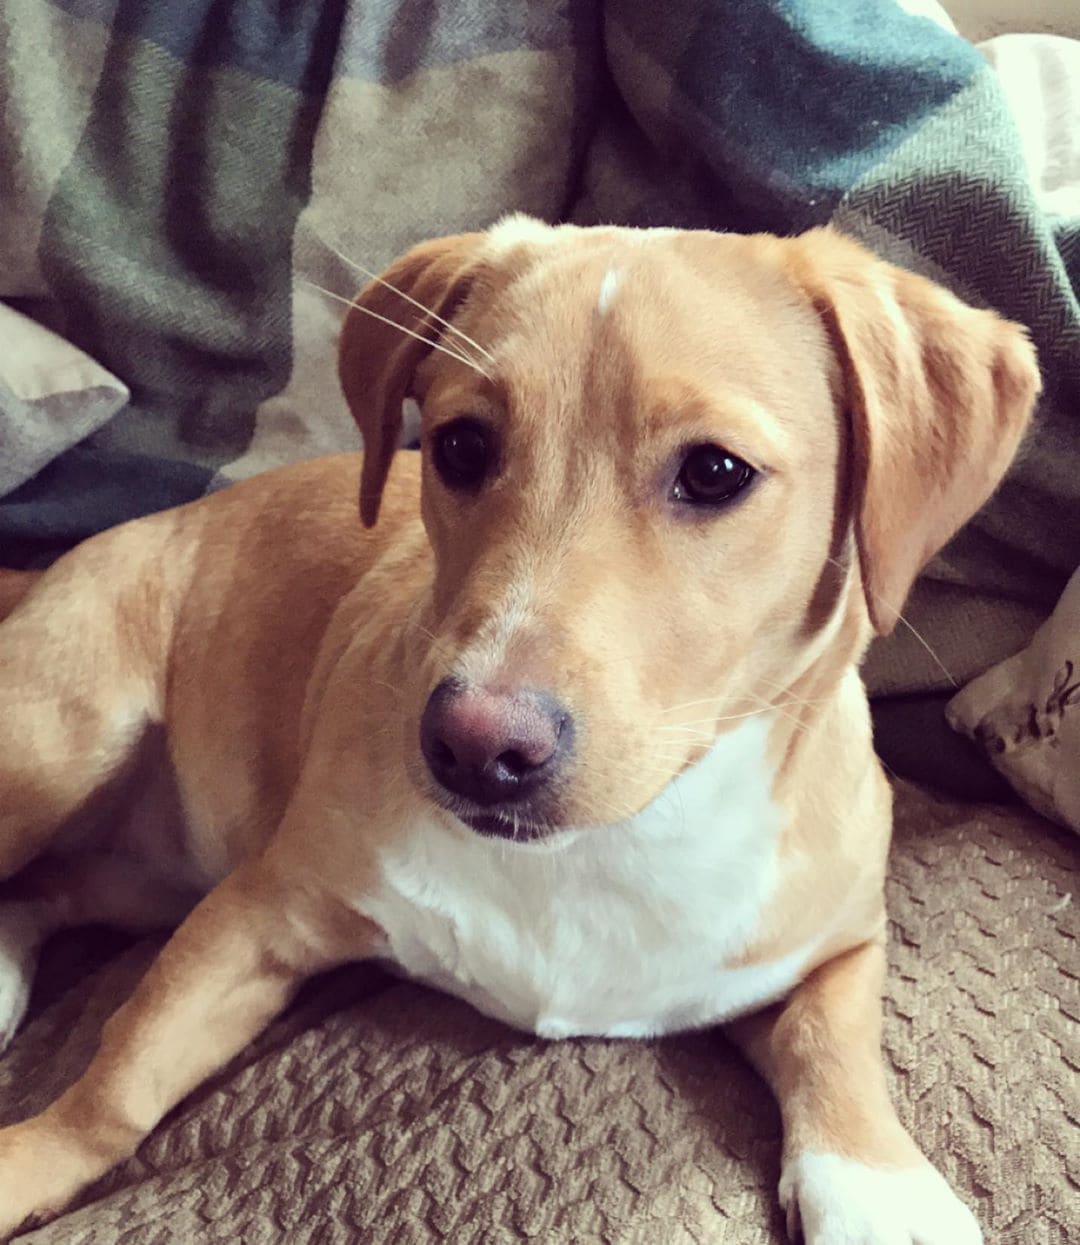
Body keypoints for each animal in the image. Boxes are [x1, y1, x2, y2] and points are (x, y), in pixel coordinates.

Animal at [0, 219, 1041, 1240]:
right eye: (461, 446)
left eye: (715, 471)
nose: (473, 750)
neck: (614, 844)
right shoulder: (261, 907)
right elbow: (122, 1077)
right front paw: (31, 1161)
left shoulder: (836, 944)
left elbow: (833, 1039)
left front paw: (877, 1191)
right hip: (62, 747)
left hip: (146, 872)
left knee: (50, 888)